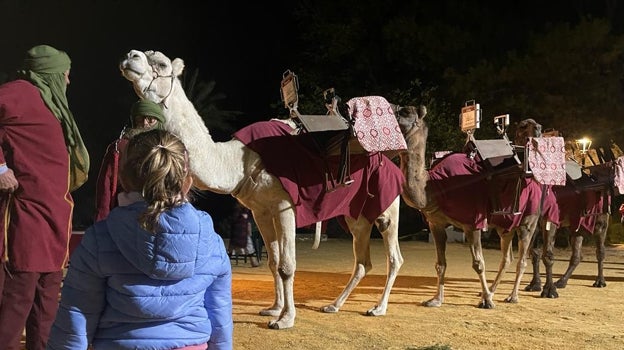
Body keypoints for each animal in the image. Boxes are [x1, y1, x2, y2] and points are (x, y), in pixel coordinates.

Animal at [119, 50, 408, 330]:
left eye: (161, 63)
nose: (130, 56)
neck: (238, 161)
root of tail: (394, 165)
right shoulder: (261, 212)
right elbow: (273, 261)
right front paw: (274, 308)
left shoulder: (285, 207)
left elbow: (287, 265)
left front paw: (285, 319)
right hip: (355, 216)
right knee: (362, 262)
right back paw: (334, 305)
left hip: (387, 207)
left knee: (394, 257)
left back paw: (378, 308)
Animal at [394, 106, 552, 306]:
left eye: (406, 112)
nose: (538, 128)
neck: (435, 187)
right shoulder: (435, 223)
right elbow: (440, 264)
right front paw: (436, 300)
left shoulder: (473, 223)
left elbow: (478, 264)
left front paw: (487, 302)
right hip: (505, 224)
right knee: (507, 257)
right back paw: (492, 290)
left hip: (528, 220)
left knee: (522, 259)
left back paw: (512, 296)